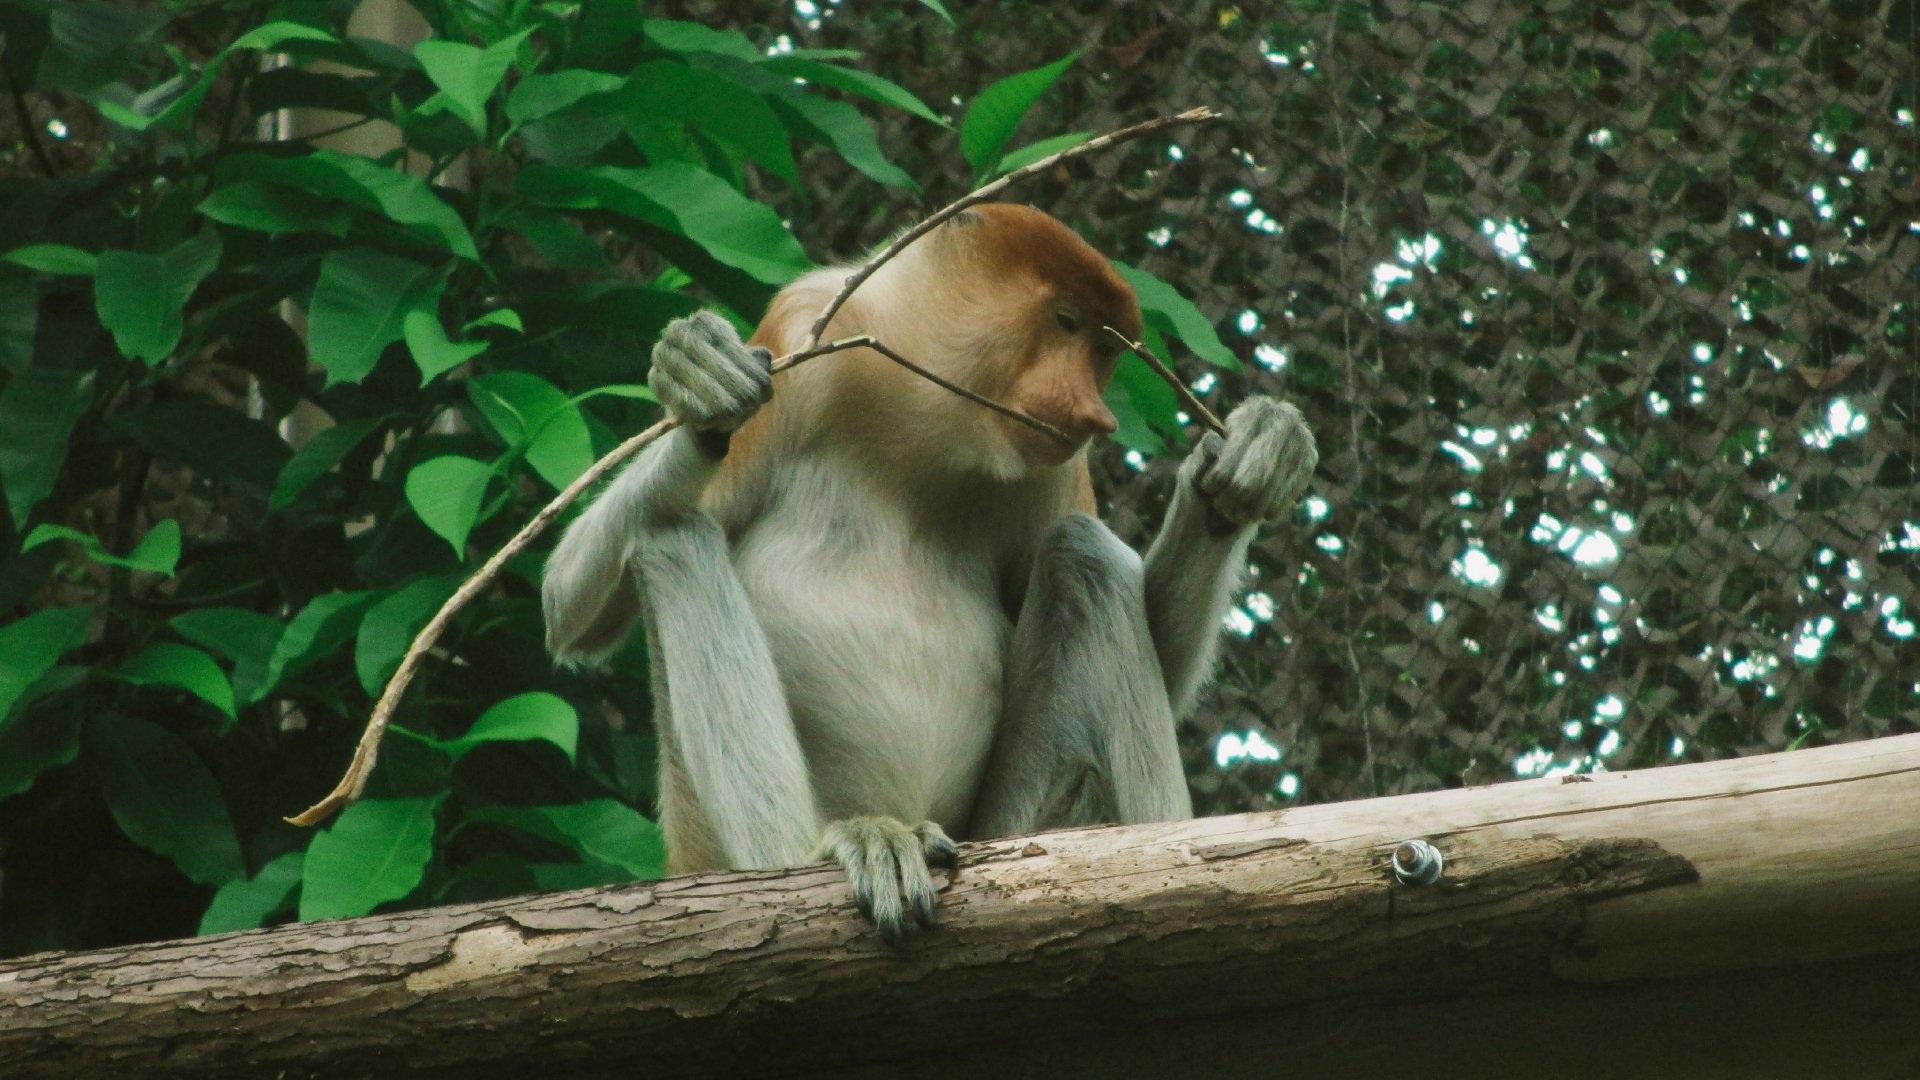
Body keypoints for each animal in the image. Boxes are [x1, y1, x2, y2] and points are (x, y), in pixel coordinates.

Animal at [542, 204, 1317, 944]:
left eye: (1103, 352)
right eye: (1066, 323)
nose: (1094, 414)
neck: (922, 417)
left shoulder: (1051, 456)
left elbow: (1162, 651)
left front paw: (1255, 455)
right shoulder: (801, 334)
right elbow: (571, 603)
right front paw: (702, 379)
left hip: (1001, 833)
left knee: (1083, 554)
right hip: (700, 835)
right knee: (670, 538)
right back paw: (837, 848)